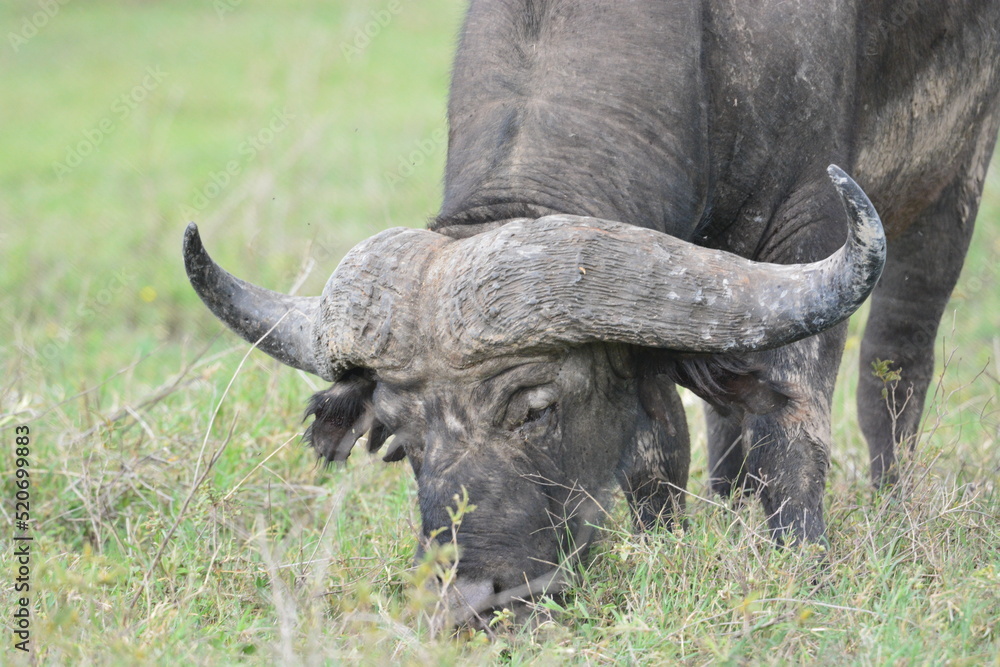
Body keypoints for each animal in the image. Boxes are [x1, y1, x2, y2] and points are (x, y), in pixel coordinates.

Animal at [184, 1, 1000, 624]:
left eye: (535, 407)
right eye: (402, 435)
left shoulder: (811, 229)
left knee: (896, 359)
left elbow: (790, 428)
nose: (467, 598)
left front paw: (802, 566)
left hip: (950, 181)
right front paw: (668, 541)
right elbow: (659, 447)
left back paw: (891, 500)